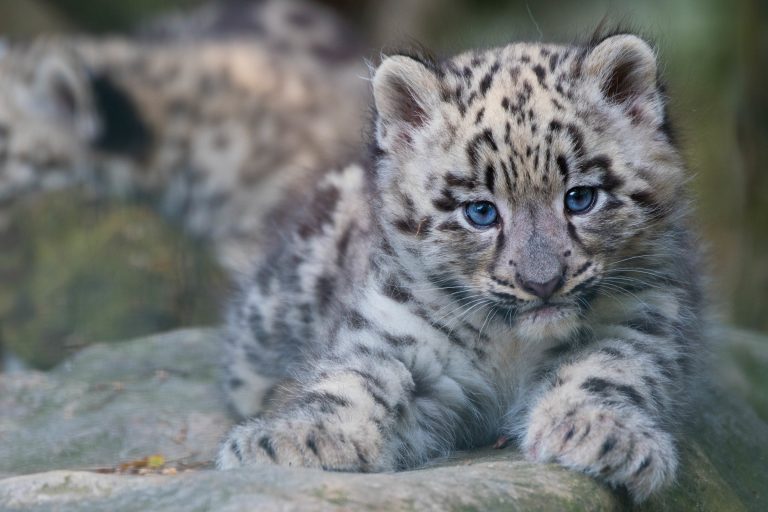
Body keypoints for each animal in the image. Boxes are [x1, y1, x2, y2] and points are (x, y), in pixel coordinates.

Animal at [218, 30, 708, 502]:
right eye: (480, 211)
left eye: (581, 197)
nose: (542, 282)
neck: (512, 348)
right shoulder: (396, 332)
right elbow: (354, 380)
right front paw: (294, 440)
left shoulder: (639, 318)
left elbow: (607, 370)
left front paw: (602, 434)